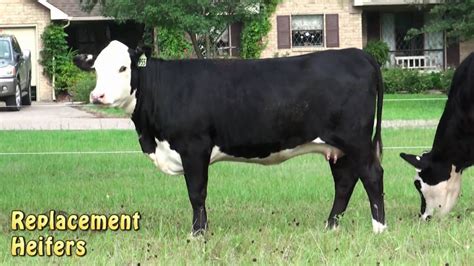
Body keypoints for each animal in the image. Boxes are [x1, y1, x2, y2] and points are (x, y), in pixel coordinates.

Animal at [74, 40, 386, 235]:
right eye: (96, 68)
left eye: (123, 67)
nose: (98, 96)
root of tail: (358, 53)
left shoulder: (194, 147)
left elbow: (196, 192)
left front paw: (197, 233)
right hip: (337, 148)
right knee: (344, 182)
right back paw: (330, 226)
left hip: (355, 140)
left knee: (372, 175)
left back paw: (379, 228)